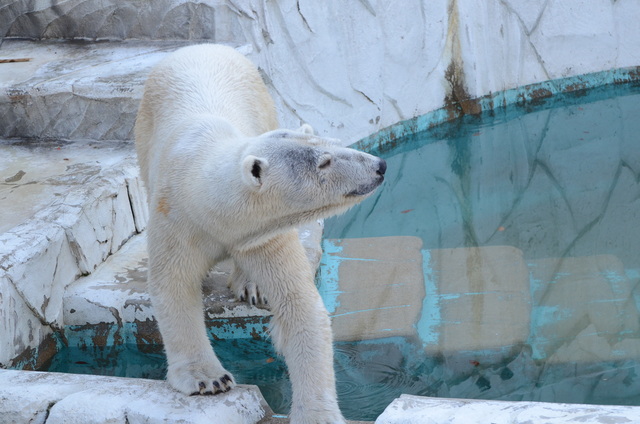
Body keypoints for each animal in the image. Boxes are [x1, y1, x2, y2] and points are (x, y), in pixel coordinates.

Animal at [134, 44, 384, 424]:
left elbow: (298, 304)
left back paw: (251, 285)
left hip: (264, 103)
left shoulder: (263, 235)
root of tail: (200, 46)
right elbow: (172, 286)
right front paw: (209, 379)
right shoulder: (175, 219)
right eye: (324, 161)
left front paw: (317, 414)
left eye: (336, 142)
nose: (379, 166)